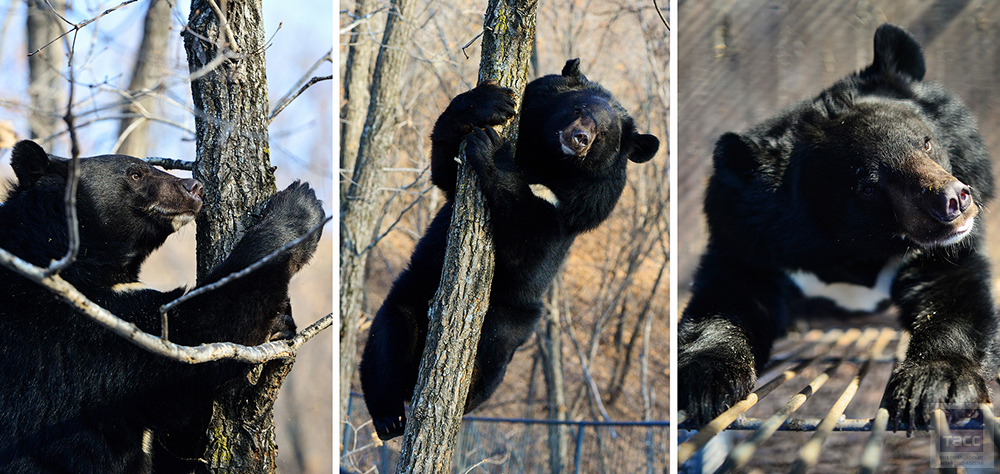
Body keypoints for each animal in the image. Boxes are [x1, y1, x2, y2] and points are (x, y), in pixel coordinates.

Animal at [0, 139, 324, 472]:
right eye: (135, 174)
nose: (195, 187)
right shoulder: (79, 327)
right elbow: (202, 330)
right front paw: (299, 205)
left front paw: (282, 324)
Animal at [364, 59, 660, 440]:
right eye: (577, 109)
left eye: (605, 134)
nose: (579, 138)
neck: (550, 161)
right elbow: (446, 165)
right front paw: (490, 103)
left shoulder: (582, 206)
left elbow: (530, 247)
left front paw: (492, 151)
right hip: (413, 289)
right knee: (387, 342)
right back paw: (388, 418)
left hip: (512, 317)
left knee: (491, 355)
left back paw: (458, 401)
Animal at [676, 22, 996, 432]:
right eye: (867, 187)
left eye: (926, 143)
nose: (953, 202)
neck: (858, 248)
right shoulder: (747, 237)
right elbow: (729, 297)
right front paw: (705, 384)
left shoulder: (942, 250)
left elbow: (953, 297)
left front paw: (934, 386)